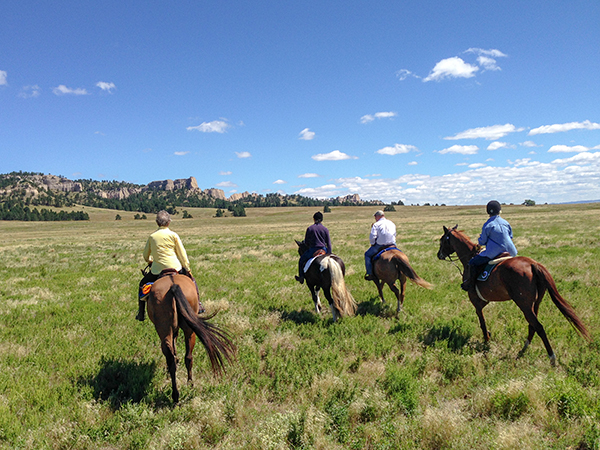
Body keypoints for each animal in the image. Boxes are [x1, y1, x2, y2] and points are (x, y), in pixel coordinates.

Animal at [146, 272, 236, 402]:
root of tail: (173, 286)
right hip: (185, 330)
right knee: (186, 357)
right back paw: (185, 389)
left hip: (170, 330)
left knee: (175, 356)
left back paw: (179, 391)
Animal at [436, 223, 592, 364]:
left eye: (442, 240)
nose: (439, 255)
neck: (469, 258)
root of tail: (533, 264)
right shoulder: (485, 300)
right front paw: (489, 336)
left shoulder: (475, 300)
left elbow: (482, 321)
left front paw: (486, 339)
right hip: (535, 303)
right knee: (532, 326)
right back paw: (523, 349)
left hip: (523, 304)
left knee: (538, 326)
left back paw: (551, 358)